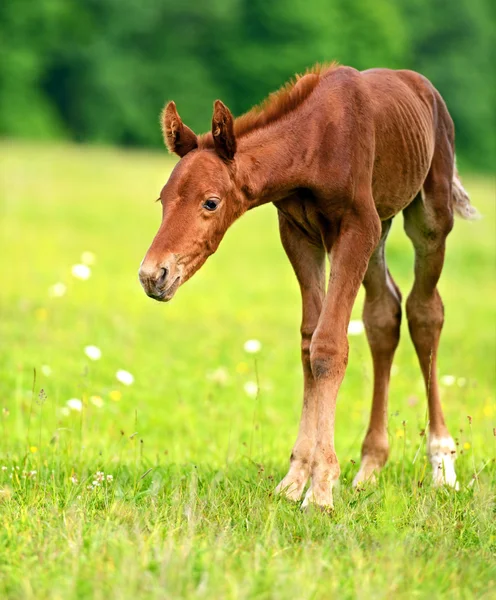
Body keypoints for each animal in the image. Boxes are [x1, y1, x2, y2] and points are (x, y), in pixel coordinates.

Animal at [139, 63, 476, 508]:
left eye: (210, 202)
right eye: (162, 200)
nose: (152, 275)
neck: (313, 143)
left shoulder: (357, 226)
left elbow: (329, 345)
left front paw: (320, 490)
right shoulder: (298, 232)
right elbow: (308, 344)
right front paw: (296, 478)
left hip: (429, 214)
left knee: (425, 312)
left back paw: (441, 464)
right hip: (381, 228)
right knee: (383, 314)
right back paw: (370, 466)